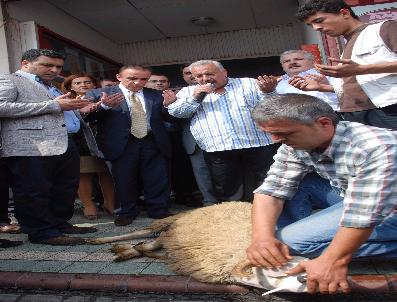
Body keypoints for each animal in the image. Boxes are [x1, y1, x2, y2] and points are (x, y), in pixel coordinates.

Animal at [88, 201, 306, 292]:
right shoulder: (177, 238)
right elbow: (150, 245)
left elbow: (149, 249)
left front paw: (128, 251)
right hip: (173, 222)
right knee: (143, 232)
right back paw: (100, 241)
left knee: (147, 241)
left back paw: (122, 250)